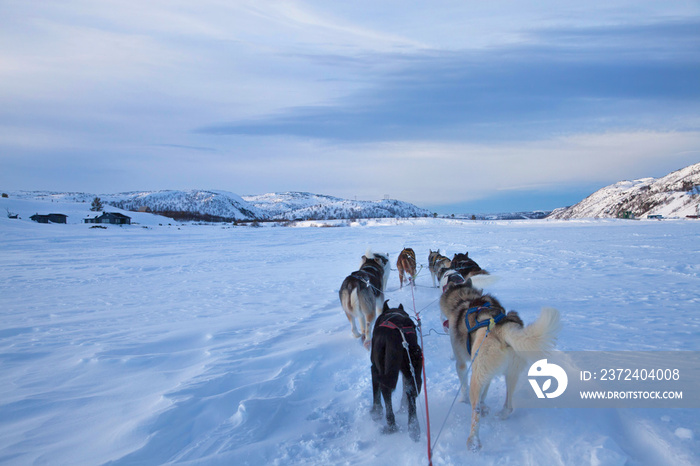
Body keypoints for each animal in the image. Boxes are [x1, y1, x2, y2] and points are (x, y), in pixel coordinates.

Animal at [370, 302, 424, 440]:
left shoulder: (373, 367)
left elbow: (376, 394)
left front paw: (375, 413)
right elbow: (405, 389)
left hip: (382, 370)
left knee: (386, 392)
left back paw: (391, 426)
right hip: (413, 367)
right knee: (411, 392)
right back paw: (413, 427)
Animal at [440, 280, 560, 452]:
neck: (465, 298)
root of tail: (502, 328)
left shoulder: (461, 364)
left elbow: (463, 386)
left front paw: (464, 400)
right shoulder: (488, 374)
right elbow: (485, 393)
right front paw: (485, 405)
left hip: (477, 376)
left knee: (475, 411)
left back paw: (473, 441)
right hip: (511, 374)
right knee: (509, 405)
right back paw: (502, 414)